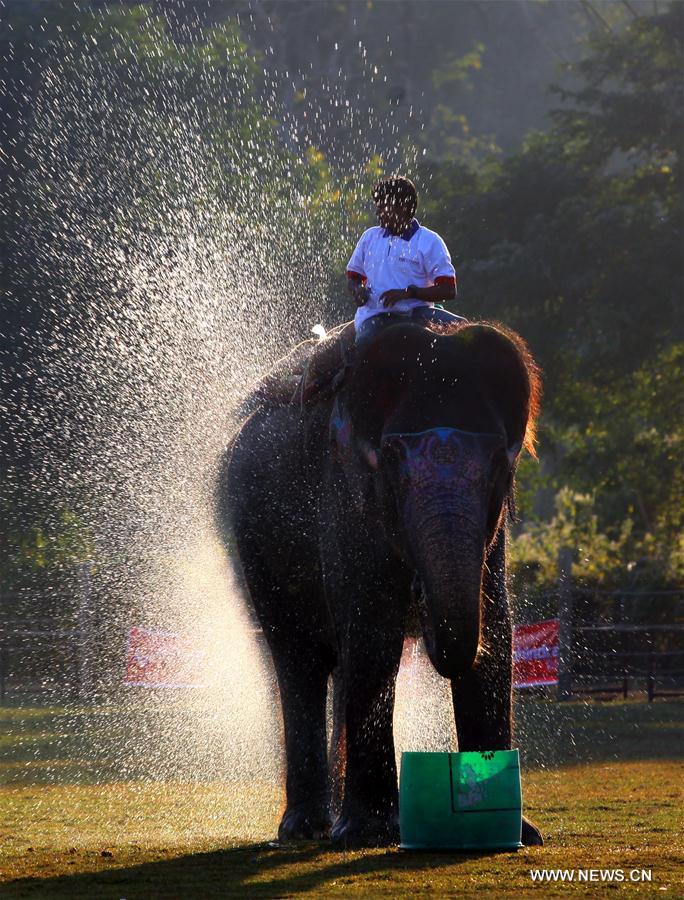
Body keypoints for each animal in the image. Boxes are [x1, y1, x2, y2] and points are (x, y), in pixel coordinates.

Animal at [216, 320, 544, 848]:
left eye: (499, 460)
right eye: (389, 457)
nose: (420, 597)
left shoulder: (494, 535)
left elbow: (497, 631)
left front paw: (515, 831)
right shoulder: (344, 494)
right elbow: (372, 634)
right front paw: (369, 834)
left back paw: (328, 821)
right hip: (251, 540)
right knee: (299, 660)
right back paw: (307, 829)